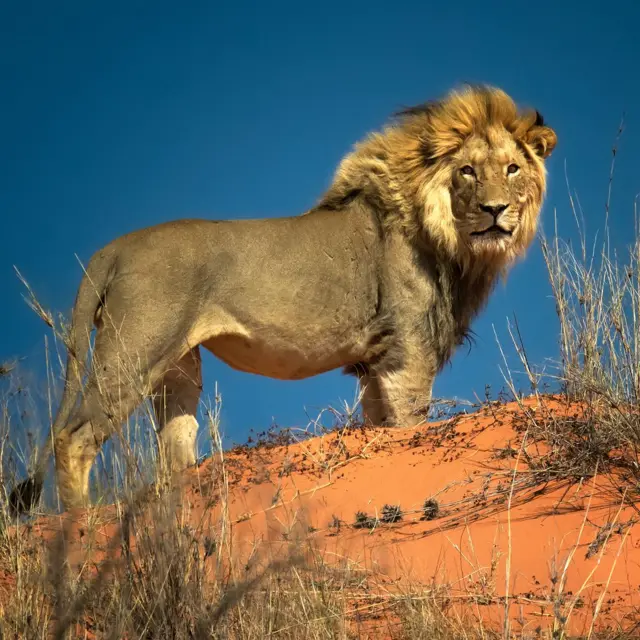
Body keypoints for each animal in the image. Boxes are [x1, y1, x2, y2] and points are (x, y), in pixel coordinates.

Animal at [8, 85, 556, 516]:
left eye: (512, 169)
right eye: (467, 171)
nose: (495, 210)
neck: (452, 243)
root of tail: (112, 249)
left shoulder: (375, 364)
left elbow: (380, 432)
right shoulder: (408, 353)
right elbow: (408, 431)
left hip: (177, 366)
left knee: (174, 454)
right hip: (134, 351)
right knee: (75, 436)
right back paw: (78, 528)